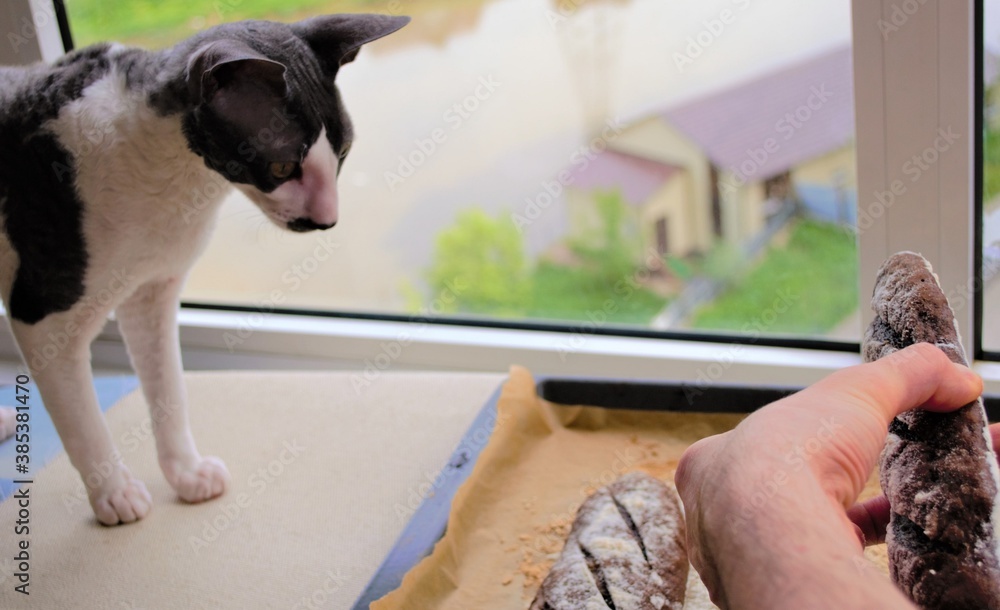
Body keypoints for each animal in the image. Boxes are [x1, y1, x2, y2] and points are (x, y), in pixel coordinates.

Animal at [0, 13, 410, 524]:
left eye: (344, 154)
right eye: (282, 167)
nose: (327, 220)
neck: (176, 183)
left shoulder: (151, 294)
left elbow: (170, 392)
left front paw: (187, 474)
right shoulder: (42, 317)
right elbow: (83, 422)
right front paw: (114, 494)